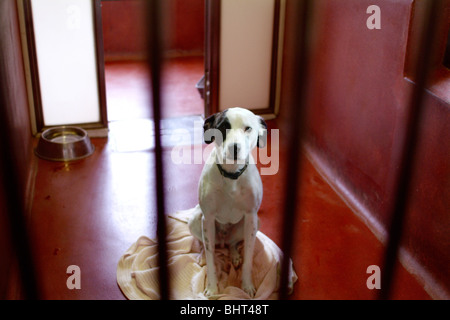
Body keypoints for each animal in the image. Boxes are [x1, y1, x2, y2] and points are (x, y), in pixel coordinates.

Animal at [187, 107, 268, 298]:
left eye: (248, 128)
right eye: (223, 126)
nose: (235, 148)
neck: (231, 175)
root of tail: (222, 240)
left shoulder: (251, 217)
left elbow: (248, 258)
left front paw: (247, 285)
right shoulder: (208, 219)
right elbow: (211, 260)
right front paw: (212, 287)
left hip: (253, 223)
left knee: (232, 243)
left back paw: (235, 255)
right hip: (196, 220)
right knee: (206, 245)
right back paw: (204, 255)